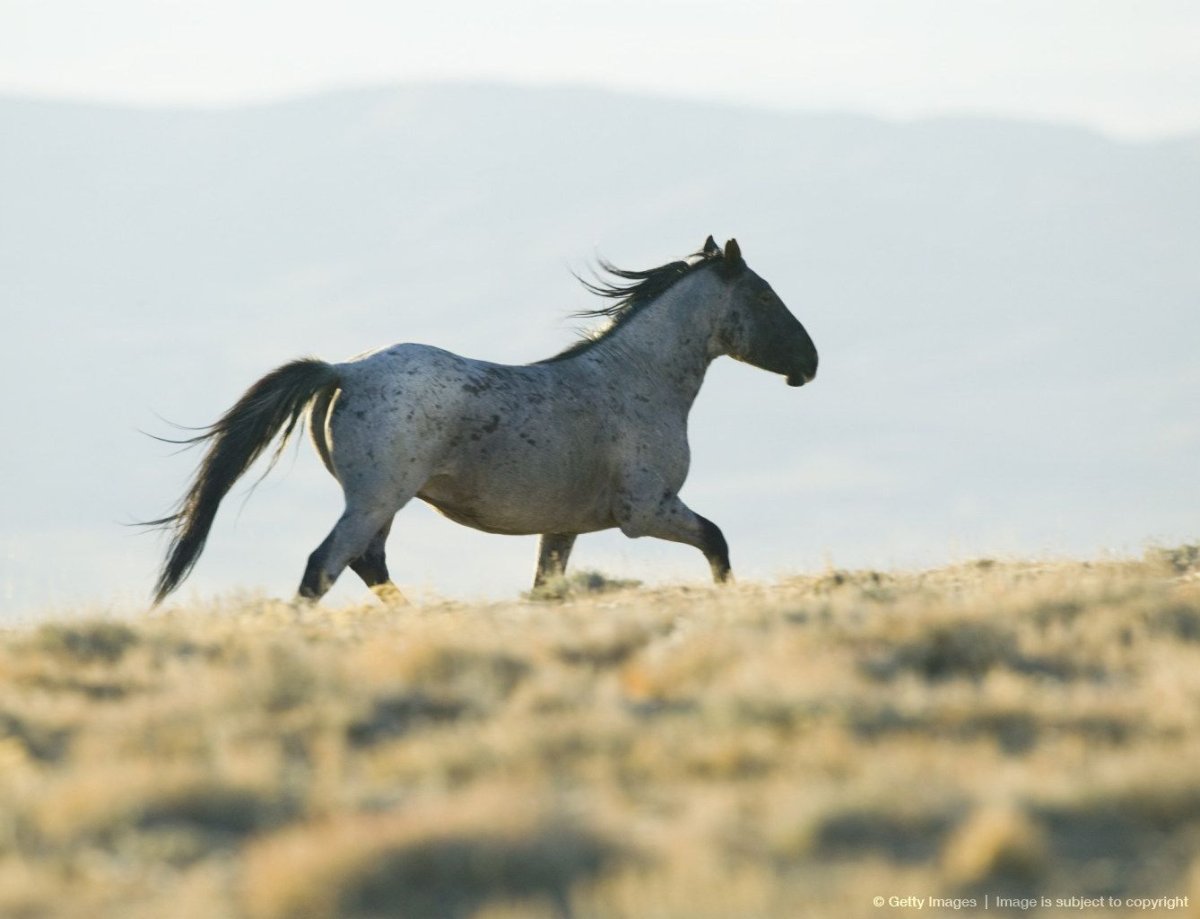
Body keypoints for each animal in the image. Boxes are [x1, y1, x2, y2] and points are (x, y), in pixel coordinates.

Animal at [148, 236, 818, 605]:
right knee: (325, 568)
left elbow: (546, 589)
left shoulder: (564, 528)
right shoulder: (646, 511)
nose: (809, 363)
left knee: (367, 564)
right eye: (763, 294)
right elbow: (718, 543)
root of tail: (345, 369)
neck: (635, 379)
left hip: (382, 504)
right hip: (377, 498)